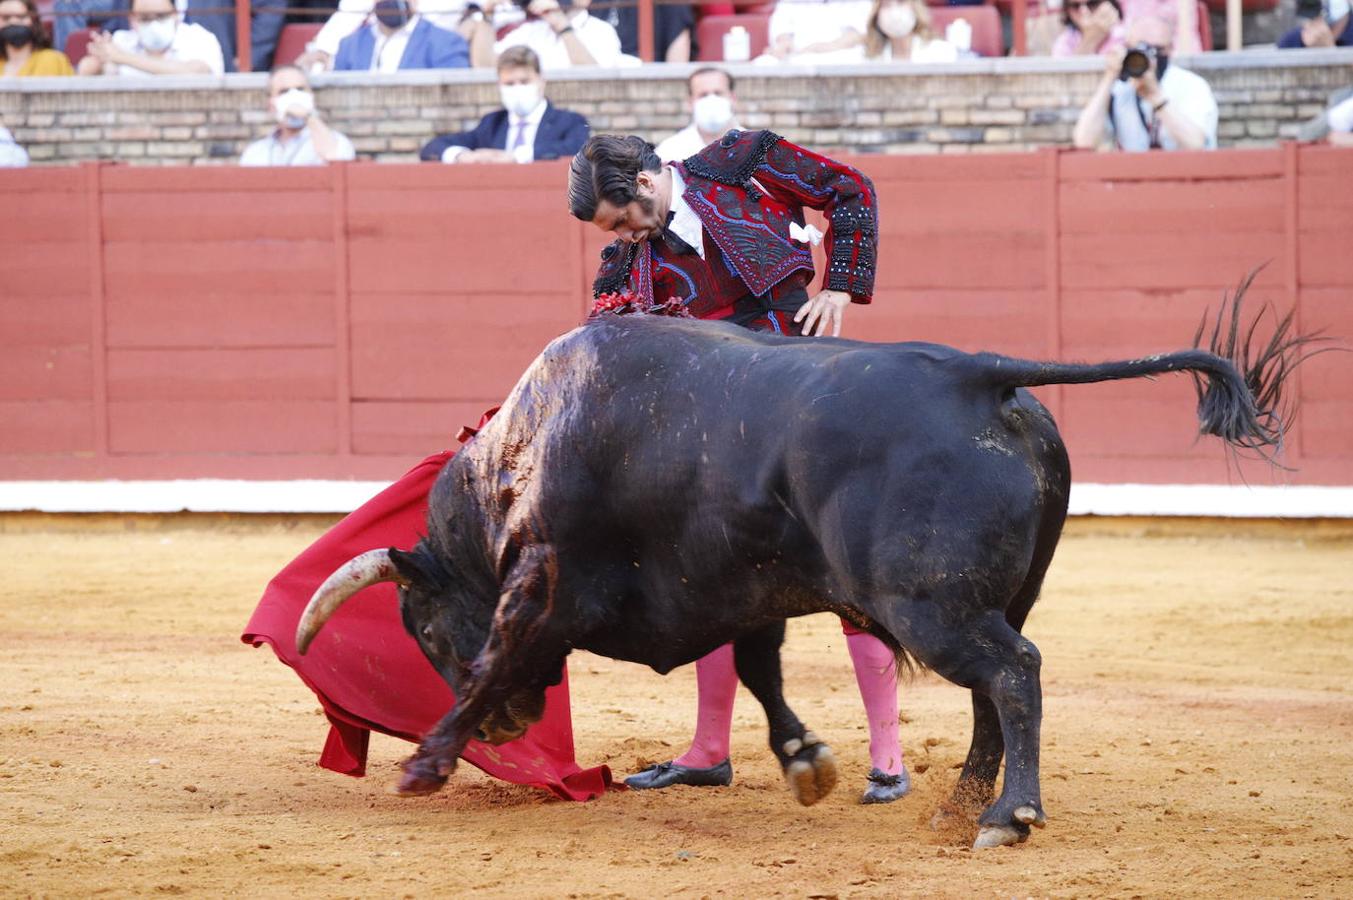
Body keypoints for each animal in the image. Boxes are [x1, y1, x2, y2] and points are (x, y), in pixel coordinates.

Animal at [293, 289, 1309, 849]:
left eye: (423, 627)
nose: (510, 729)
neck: (522, 452)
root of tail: (974, 374)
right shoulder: (740, 585)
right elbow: (755, 669)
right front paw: (805, 761)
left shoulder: (540, 578)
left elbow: (501, 649)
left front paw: (426, 763)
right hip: (983, 599)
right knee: (996, 688)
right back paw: (959, 807)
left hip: (929, 605)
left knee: (1014, 674)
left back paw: (1005, 815)